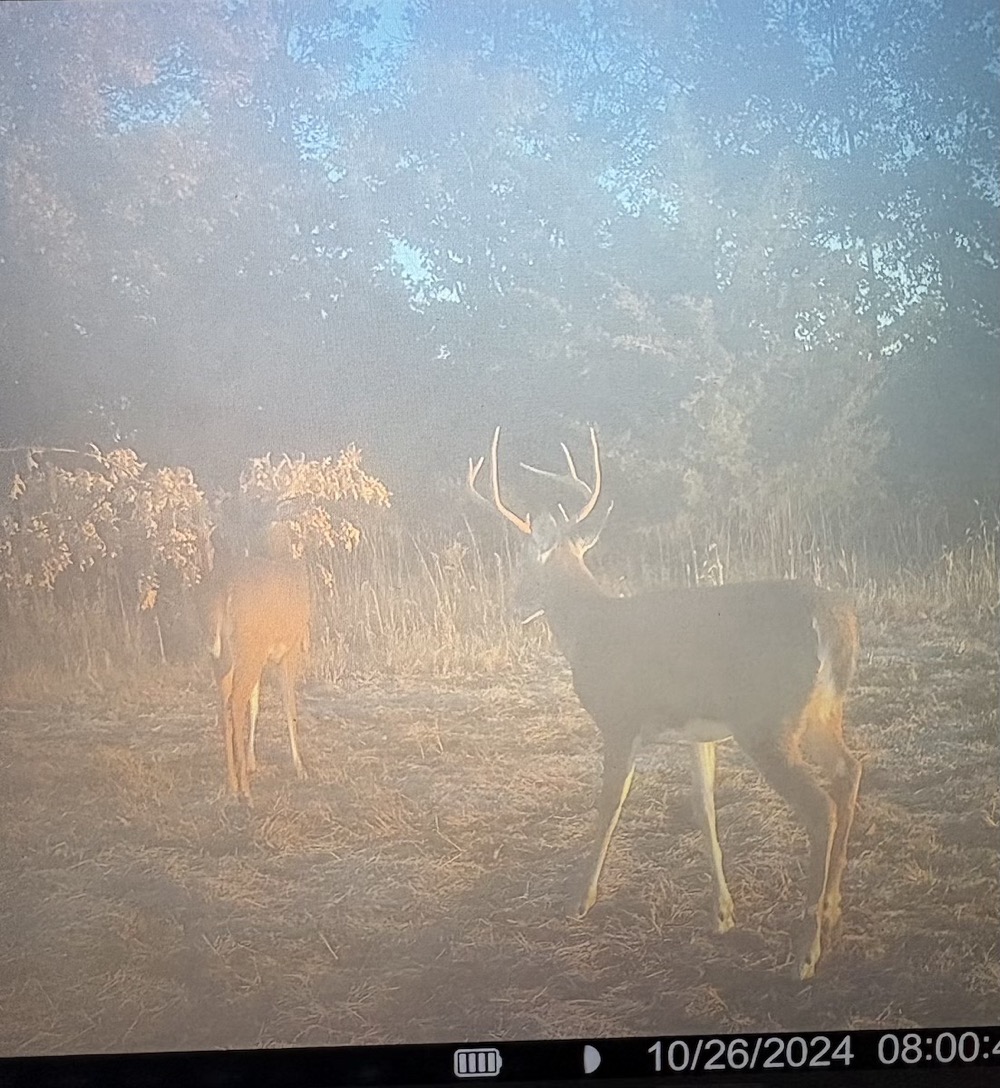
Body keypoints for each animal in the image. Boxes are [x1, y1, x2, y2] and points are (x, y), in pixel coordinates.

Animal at [198, 514, 311, 801]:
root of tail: (225, 591)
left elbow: (257, 703)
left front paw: (251, 762)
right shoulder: (289, 651)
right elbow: (288, 704)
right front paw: (300, 767)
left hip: (224, 657)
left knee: (225, 706)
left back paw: (232, 783)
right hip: (249, 651)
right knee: (236, 703)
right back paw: (245, 791)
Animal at [469, 426, 862, 979]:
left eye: (527, 565)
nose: (515, 606)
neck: (589, 628)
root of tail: (832, 618)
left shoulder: (619, 718)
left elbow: (609, 805)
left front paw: (579, 899)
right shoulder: (699, 733)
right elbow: (704, 807)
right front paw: (722, 913)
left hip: (767, 722)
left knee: (820, 806)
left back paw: (805, 951)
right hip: (823, 712)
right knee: (850, 771)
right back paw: (831, 910)